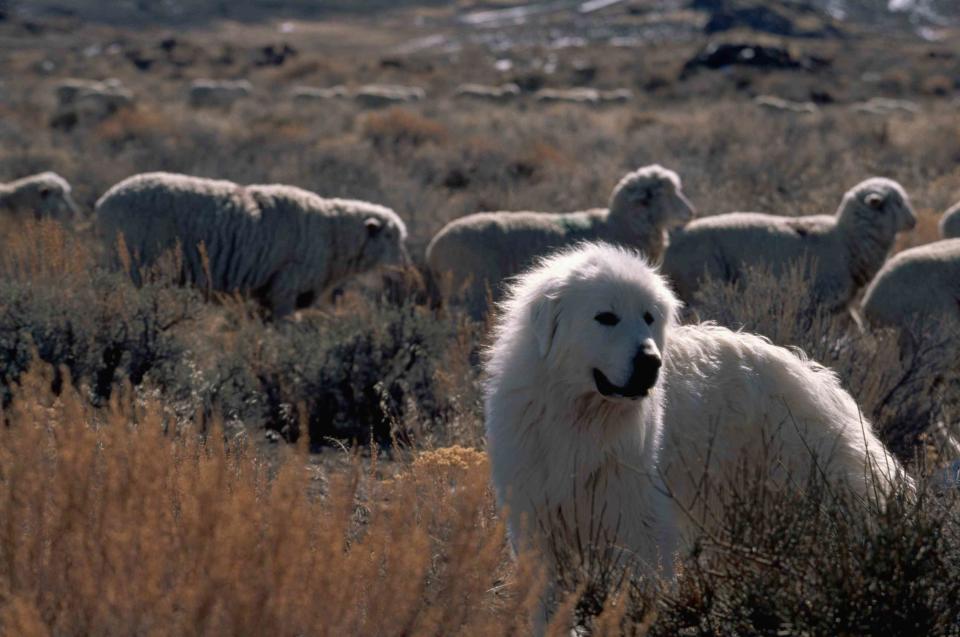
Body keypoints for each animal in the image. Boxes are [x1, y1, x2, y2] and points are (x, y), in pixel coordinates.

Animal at [96, 173, 408, 316]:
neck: (332, 235)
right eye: (390, 237)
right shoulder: (285, 289)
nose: (404, 268)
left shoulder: (266, 295)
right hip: (134, 264)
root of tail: (104, 202)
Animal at [484, 242, 912, 596]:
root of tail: (825, 383)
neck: (580, 415)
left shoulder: (639, 523)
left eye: (648, 317)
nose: (650, 363)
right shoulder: (538, 525)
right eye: (605, 317)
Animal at [660, 178, 916, 312]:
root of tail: (672, 241)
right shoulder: (820, 303)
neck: (846, 240)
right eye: (897, 202)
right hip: (701, 286)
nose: (914, 221)